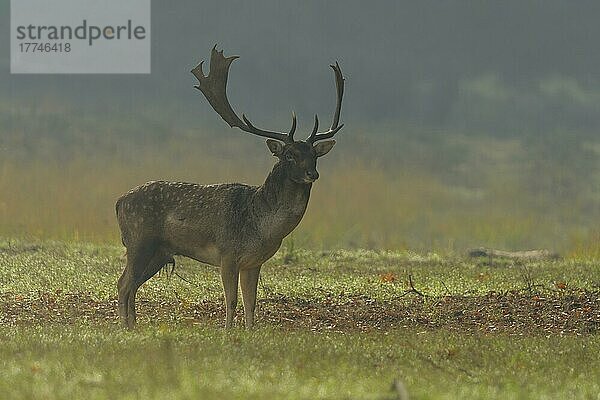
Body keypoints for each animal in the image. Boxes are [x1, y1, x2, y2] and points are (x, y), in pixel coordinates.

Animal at [115, 46, 344, 328]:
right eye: (289, 154)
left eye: (314, 154)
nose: (313, 173)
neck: (262, 228)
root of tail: (118, 202)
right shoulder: (227, 254)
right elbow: (232, 300)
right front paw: (227, 331)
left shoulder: (253, 262)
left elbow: (251, 303)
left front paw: (250, 331)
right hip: (139, 241)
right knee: (123, 284)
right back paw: (125, 327)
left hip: (158, 252)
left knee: (132, 285)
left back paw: (133, 326)